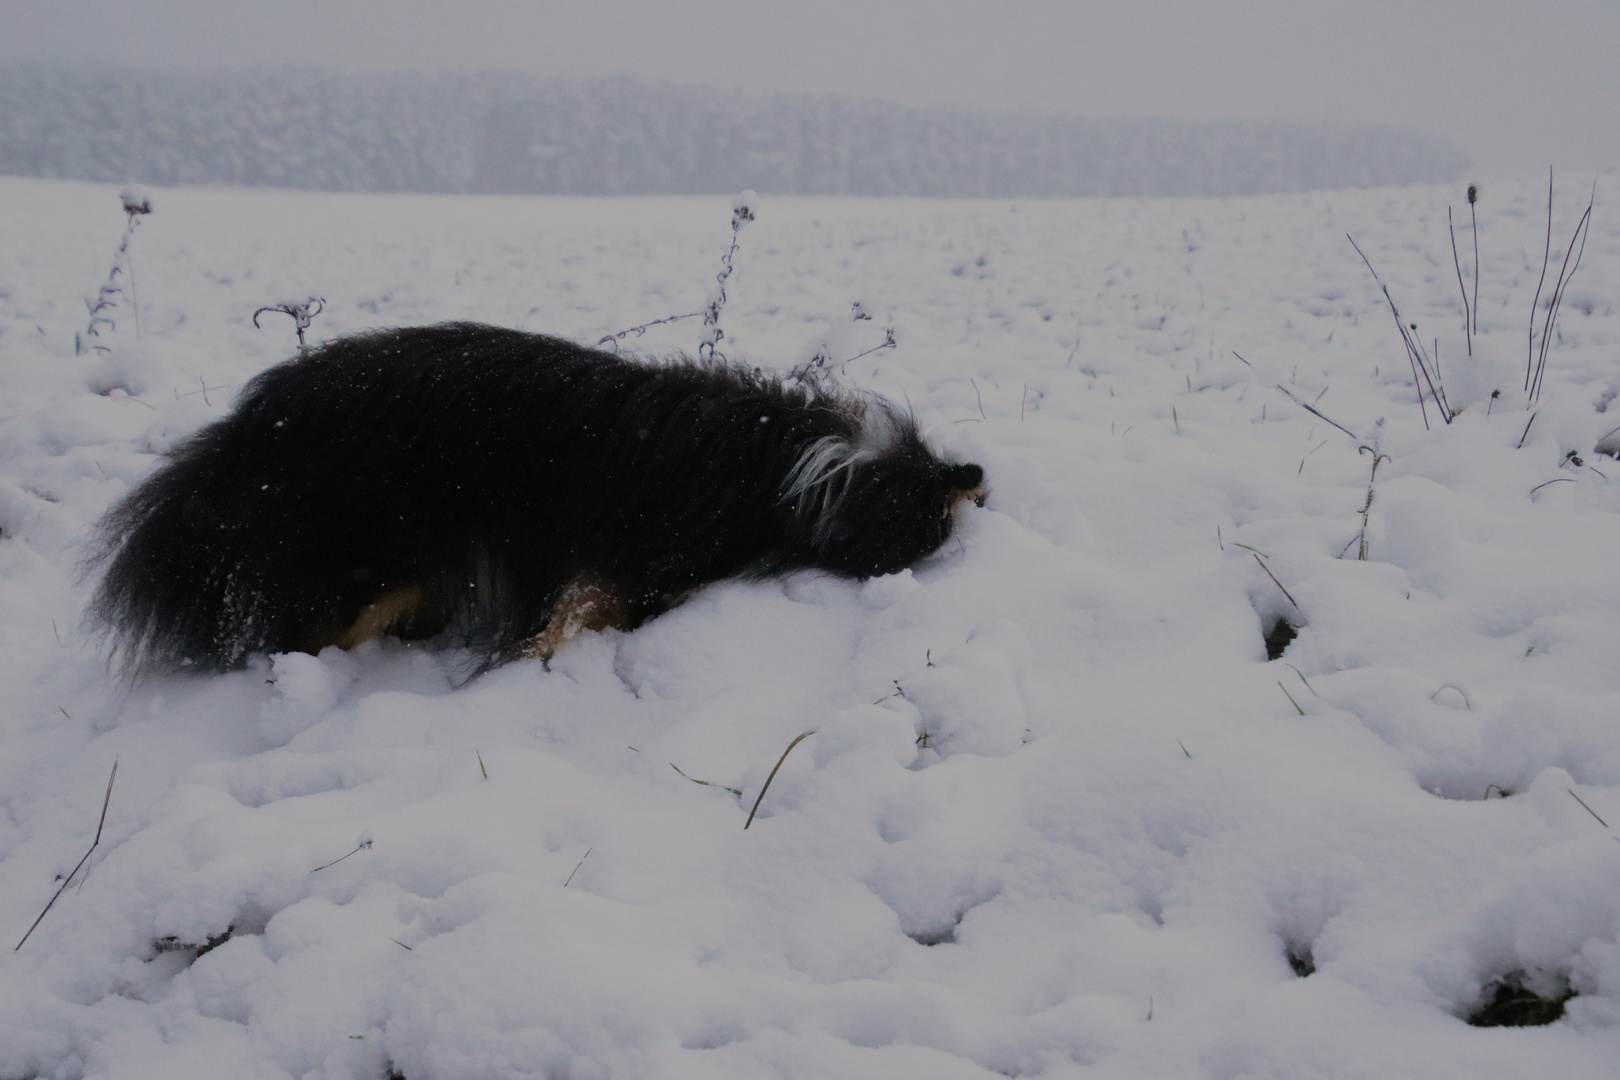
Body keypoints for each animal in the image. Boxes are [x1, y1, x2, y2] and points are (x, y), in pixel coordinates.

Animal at [91, 320, 984, 676]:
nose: (974, 478)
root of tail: (248, 424)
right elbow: (582, 610)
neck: (795, 469)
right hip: (370, 556)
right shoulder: (625, 562)